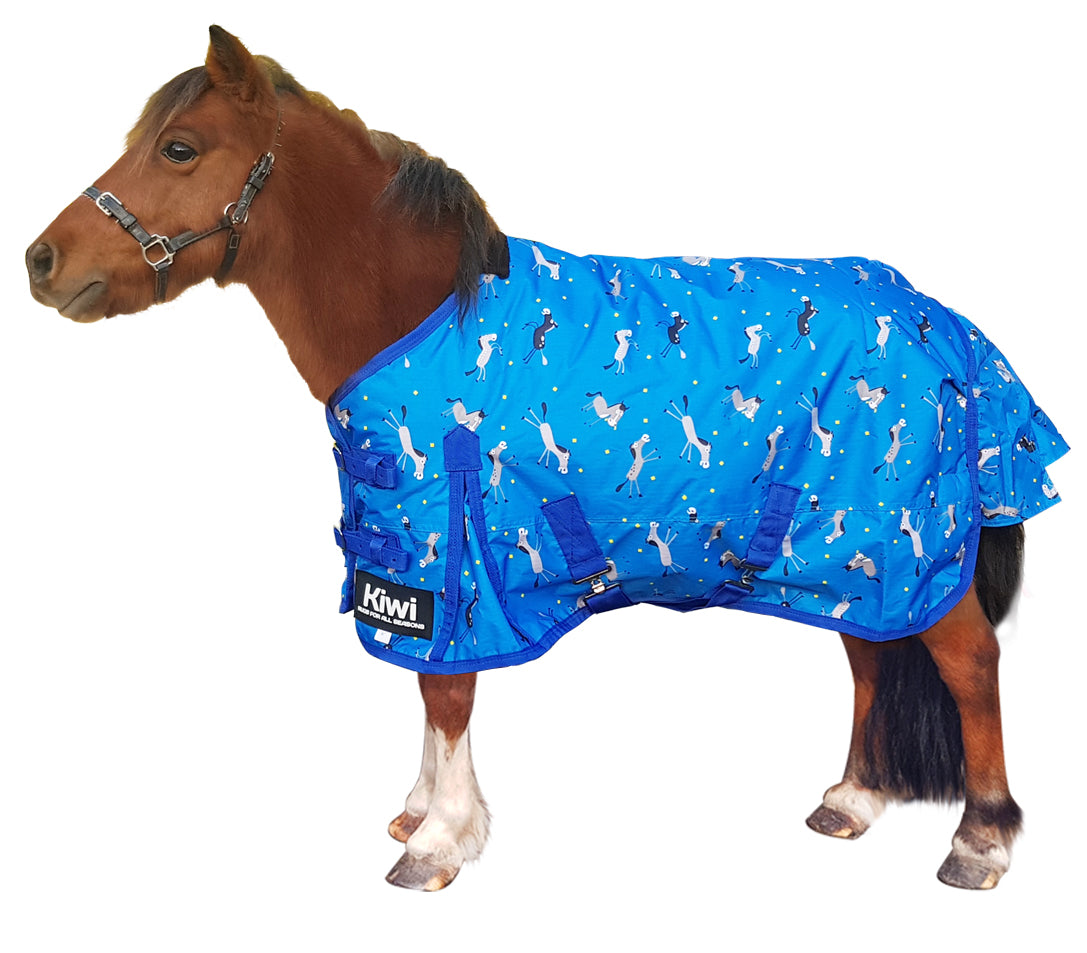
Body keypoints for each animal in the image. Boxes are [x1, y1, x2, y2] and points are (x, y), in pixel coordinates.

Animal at [25, 26, 1067, 893]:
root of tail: (940, 319)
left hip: (904, 539)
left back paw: (979, 842)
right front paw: (422, 812)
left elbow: (447, 689)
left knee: (968, 660)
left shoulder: (453, 545)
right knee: (871, 657)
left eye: (178, 148)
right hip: (851, 552)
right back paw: (850, 800)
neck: (427, 314)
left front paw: (440, 840)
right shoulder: (417, 556)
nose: (40, 261)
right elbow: (426, 685)